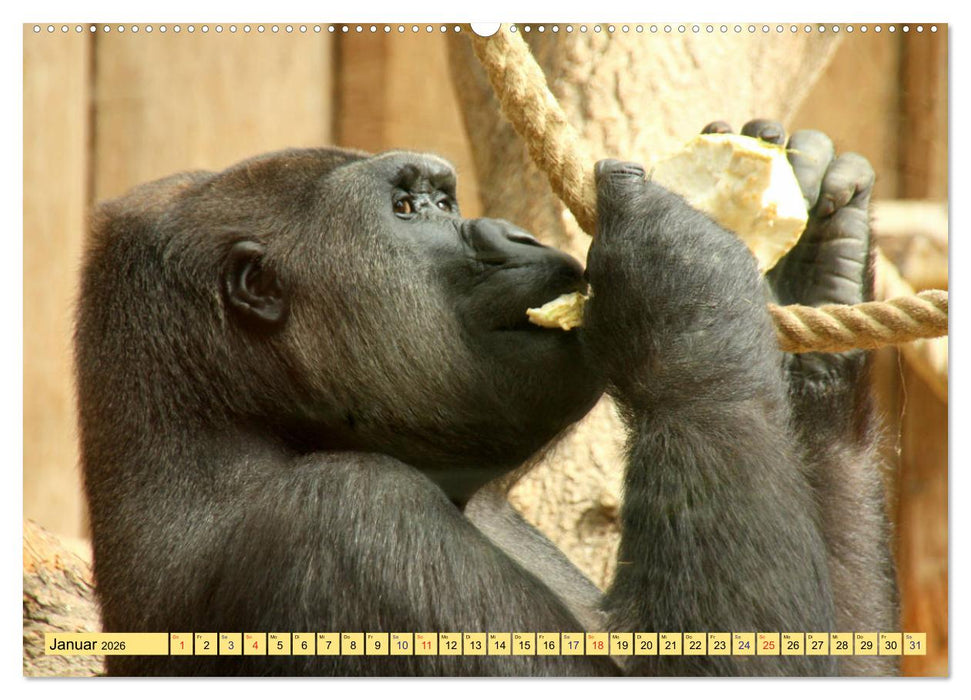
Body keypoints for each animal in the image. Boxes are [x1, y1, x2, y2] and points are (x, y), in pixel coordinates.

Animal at [74, 119, 897, 676]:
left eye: (445, 199)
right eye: (409, 210)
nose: (517, 235)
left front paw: (812, 276)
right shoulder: (353, 526)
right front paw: (684, 276)